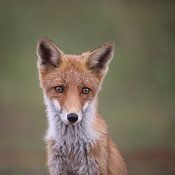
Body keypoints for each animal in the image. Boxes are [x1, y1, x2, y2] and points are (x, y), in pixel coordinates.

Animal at [36, 37, 128, 175]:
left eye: (85, 90)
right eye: (59, 89)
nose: (72, 117)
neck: (71, 147)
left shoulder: (91, 168)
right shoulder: (58, 168)